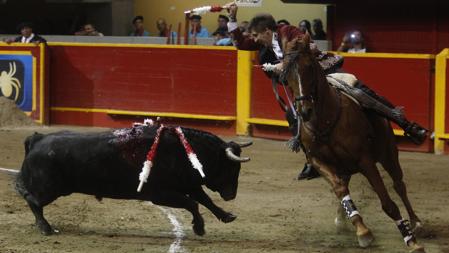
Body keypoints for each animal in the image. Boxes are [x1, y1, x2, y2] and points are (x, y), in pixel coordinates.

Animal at [14, 125, 250, 236]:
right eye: (232, 166)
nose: (231, 195)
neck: (182, 150)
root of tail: (38, 138)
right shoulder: (160, 195)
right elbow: (193, 203)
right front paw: (199, 227)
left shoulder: (188, 184)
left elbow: (205, 200)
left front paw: (227, 216)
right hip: (49, 189)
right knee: (32, 199)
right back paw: (45, 227)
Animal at [282, 34, 426, 253]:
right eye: (285, 72)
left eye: (309, 67)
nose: (304, 111)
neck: (324, 122)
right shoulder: (318, 162)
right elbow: (340, 190)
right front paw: (362, 230)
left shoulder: (365, 160)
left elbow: (388, 203)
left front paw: (412, 242)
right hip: (345, 166)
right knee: (346, 184)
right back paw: (342, 220)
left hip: (388, 154)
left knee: (399, 185)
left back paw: (416, 222)